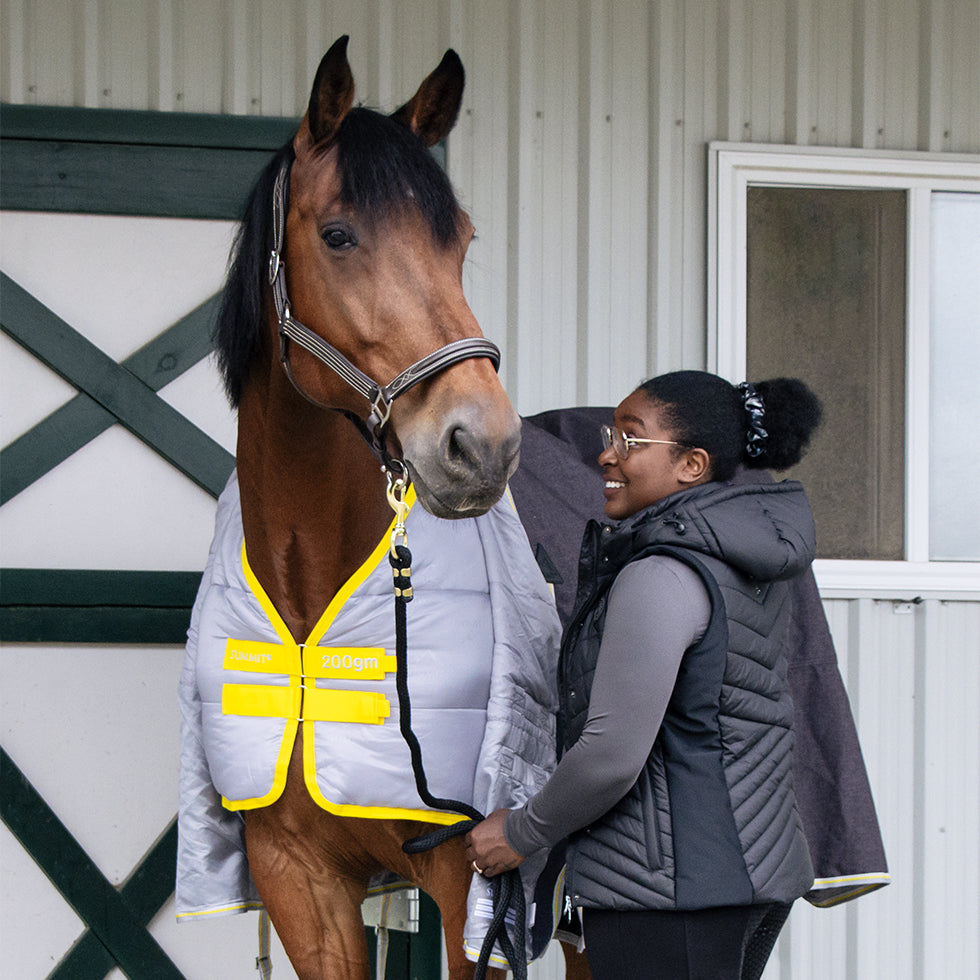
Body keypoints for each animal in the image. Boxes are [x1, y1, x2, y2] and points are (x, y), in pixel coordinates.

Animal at [175, 34, 588, 976]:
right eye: (337, 234)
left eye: (460, 240)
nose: (480, 443)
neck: (310, 591)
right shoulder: (300, 881)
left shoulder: (471, 889)